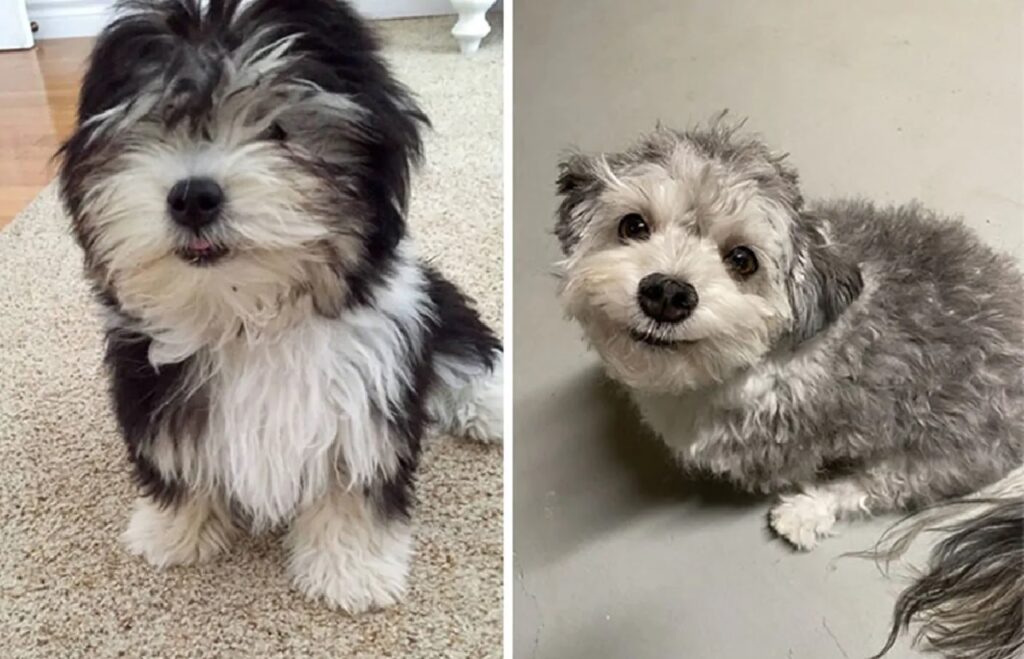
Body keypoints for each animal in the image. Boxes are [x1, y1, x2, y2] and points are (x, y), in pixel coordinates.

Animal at [58, 0, 501, 613]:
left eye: (278, 130)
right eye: (155, 124)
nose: (193, 197)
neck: (250, 315)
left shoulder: (368, 394)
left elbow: (354, 481)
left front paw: (352, 569)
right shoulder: (153, 384)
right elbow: (178, 463)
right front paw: (174, 530)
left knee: (462, 348)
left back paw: (490, 408)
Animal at [557, 119, 1024, 659]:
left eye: (742, 259)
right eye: (633, 225)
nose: (668, 292)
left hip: (943, 454)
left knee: (874, 486)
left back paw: (804, 512)